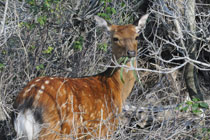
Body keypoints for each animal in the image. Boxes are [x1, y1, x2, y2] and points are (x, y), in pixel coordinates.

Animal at [13, 14, 148, 140]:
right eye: (115, 38)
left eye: (136, 37)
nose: (131, 52)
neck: (116, 87)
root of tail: (28, 103)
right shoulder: (104, 128)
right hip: (53, 129)